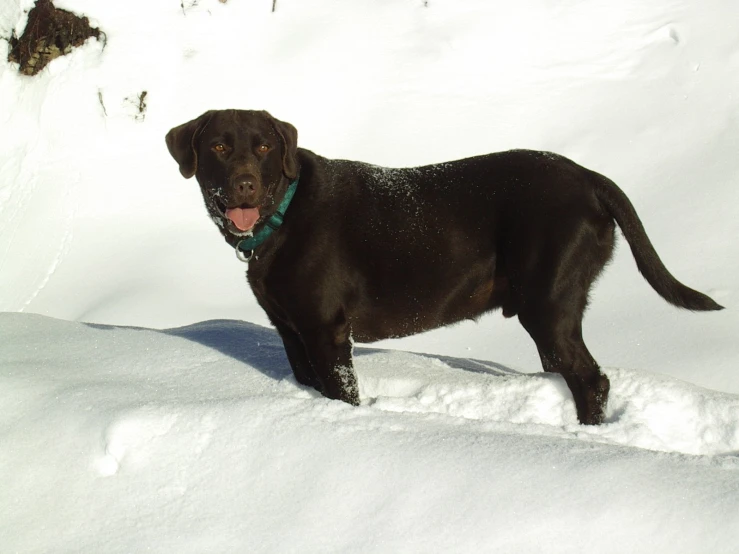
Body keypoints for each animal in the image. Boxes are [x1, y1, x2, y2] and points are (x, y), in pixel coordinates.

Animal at [166, 110, 724, 424]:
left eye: (263, 146)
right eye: (219, 146)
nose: (244, 185)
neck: (284, 211)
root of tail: (588, 176)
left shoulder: (327, 331)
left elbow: (342, 393)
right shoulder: (291, 330)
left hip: (549, 301)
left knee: (592, 380)